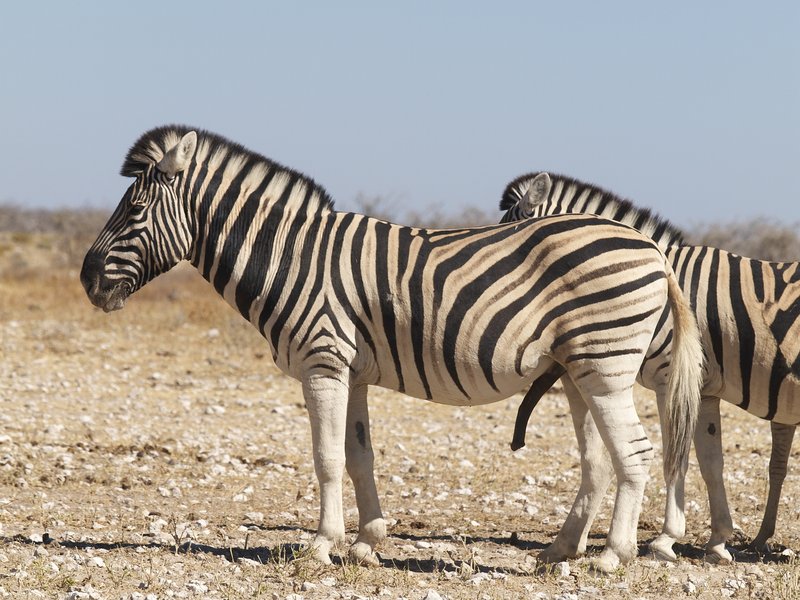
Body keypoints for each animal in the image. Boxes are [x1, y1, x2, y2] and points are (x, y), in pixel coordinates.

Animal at [80, 126, 704, 572]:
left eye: (134, 211)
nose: (86, 280)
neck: (291, 256)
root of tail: (652, 248)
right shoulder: (351, 371)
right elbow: (359, 456)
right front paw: (366, 541)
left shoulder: (324, 362)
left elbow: (326, 457)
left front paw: (321, 545)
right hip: (579, 369)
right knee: (603, 457)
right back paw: (559, 552)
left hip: (605, 365)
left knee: (636, 452)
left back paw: (612, 556)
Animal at [500, 171, 800, 561]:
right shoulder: (703, 390)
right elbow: (710, 463)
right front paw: (718, 541)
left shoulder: (670, 378)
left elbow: (676, 456)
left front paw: (665, 540)